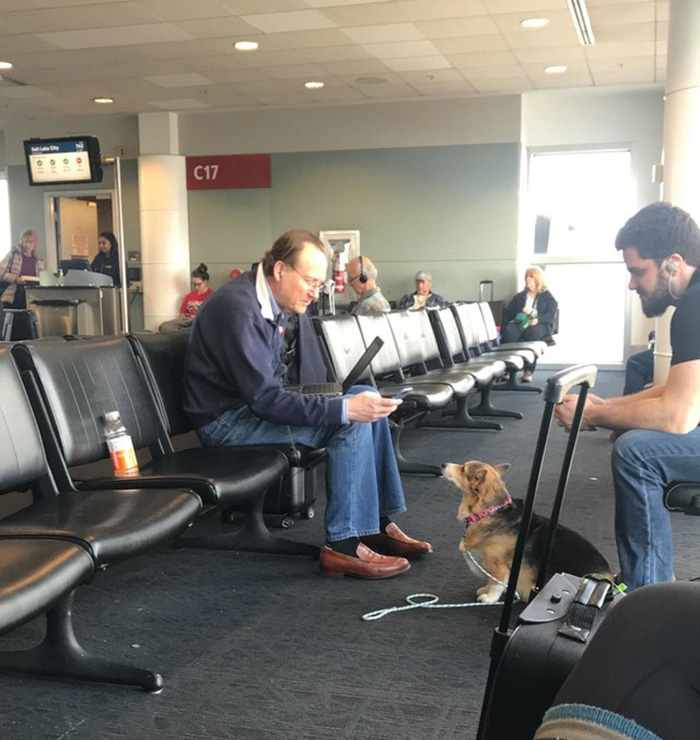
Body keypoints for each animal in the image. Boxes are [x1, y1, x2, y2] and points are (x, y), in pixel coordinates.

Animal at [446, 460, 608, 604]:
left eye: (463, 469)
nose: (443, 465)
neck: (488, 511)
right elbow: (489, 581)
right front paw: (484, 590)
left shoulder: (498, 566)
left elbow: (495, 584)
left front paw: (489, 598)